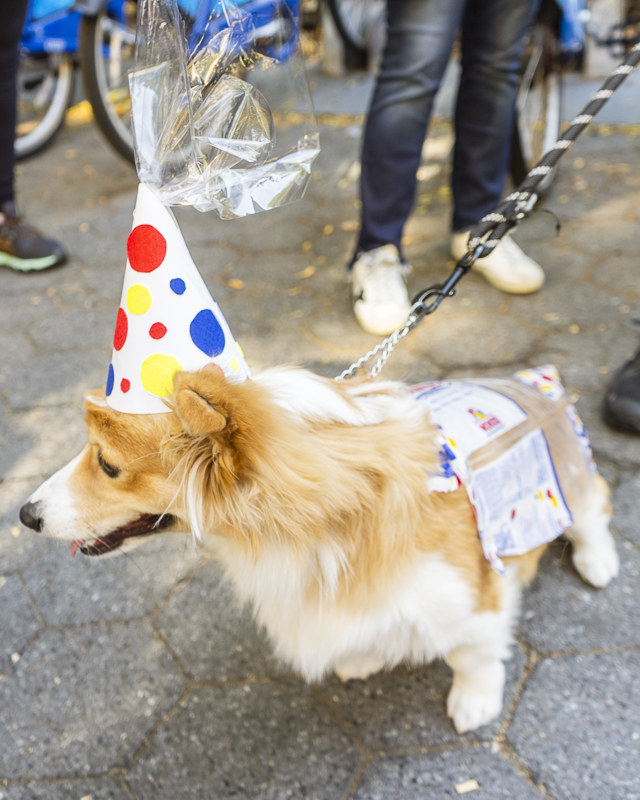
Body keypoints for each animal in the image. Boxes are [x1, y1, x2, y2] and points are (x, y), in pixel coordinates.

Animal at [21, 366, 620, 736]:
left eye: (108, 465)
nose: (25, 515)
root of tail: (532, 382)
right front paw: (363, 657)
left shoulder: (472, 594)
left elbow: (471, 654)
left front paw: (474, 702)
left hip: (568, 480)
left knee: (594, 507)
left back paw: (598, 561)